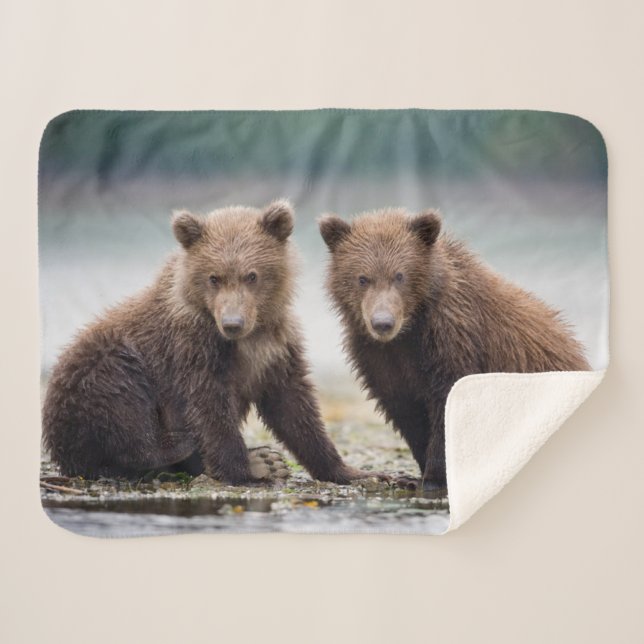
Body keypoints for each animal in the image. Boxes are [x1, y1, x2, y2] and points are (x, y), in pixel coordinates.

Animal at [43, 200, 374, 485]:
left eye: (252, 275)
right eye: (214, 277)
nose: (232, 323)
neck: (248, 336)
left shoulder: (275, 347)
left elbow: (293, 405)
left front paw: (349, 470)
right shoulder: (192, 347)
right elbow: (209, 406)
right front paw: (245, 469)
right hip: (94, 371)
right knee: (121, 400)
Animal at [319, 207, 591, 492]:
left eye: (400, 275)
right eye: (362, 278)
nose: (383, 322)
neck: (411, 329)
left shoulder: (452, 339)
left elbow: (448, 402)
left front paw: (433, 478)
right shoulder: (377, 356)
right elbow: (404, 407)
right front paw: (417, 474)